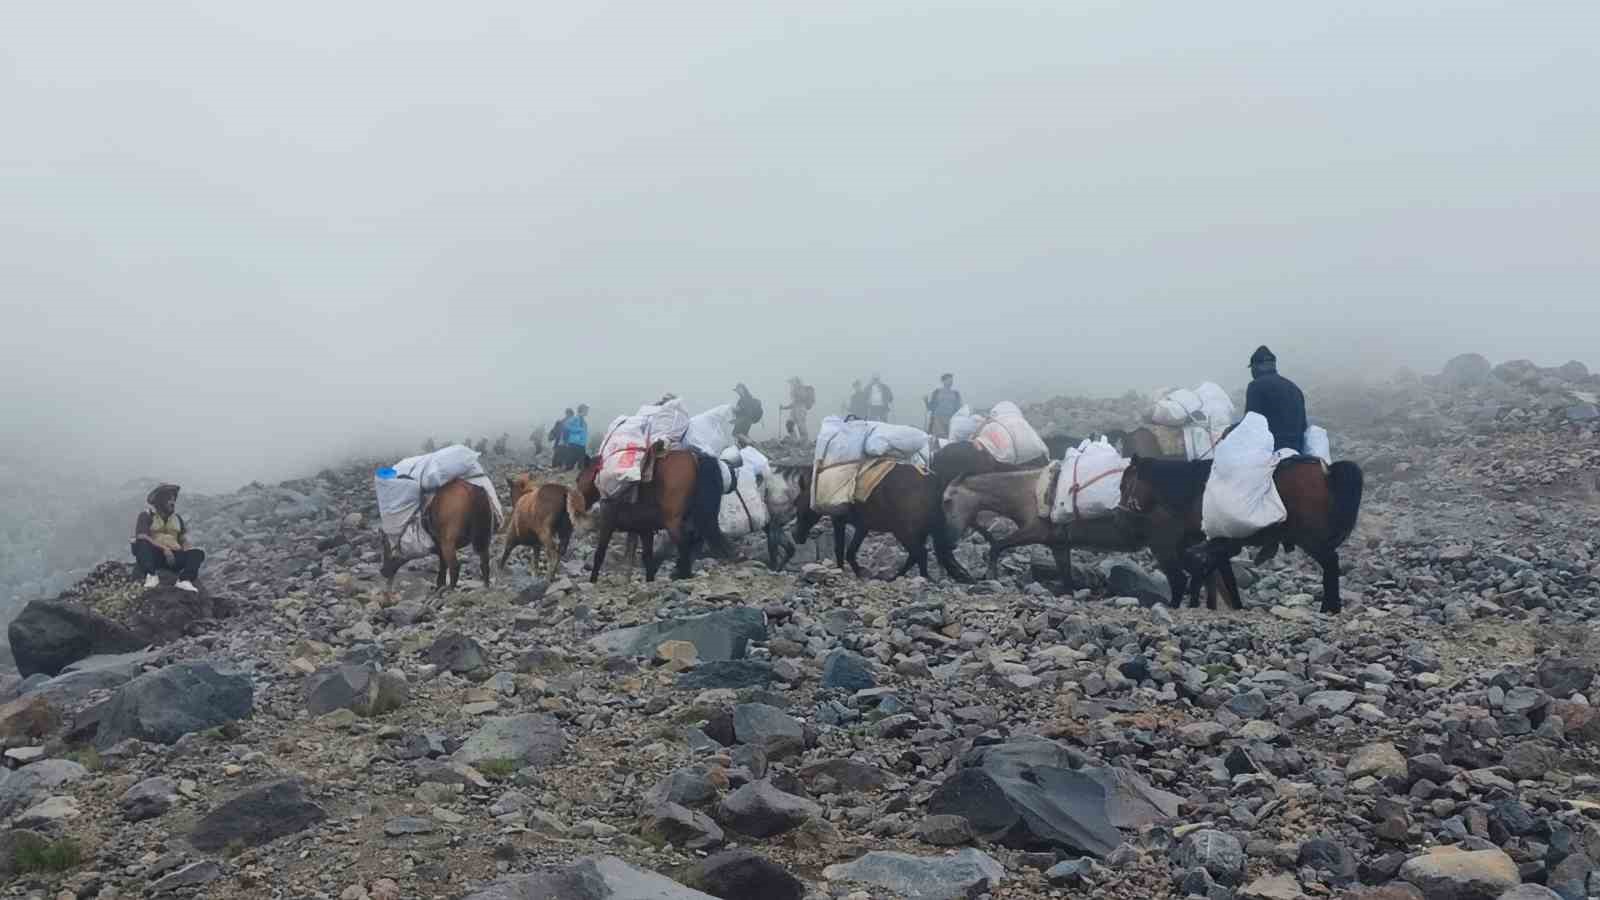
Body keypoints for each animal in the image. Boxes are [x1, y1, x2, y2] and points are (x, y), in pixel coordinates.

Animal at [576, 445, 732, 576]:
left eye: (578, 478)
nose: (579, 506)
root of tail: (695, 458)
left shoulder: (607, 522)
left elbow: (600, 553)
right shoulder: (643, 528)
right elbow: (641, 551)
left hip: (672, 520)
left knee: (684, 542)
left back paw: (682, 574)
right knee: (694, 539)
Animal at [790, 461, 966, 582]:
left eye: (797, 502)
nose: (796, 536)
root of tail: (933, 483)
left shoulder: (845, 522)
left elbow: (842, 549)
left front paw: (846, 571)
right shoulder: (858, 526)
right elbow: (847, 550)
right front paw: (854, 572)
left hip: (903, 531)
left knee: (920, 553)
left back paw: (920, 578)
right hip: (915, 532)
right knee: (916, 555)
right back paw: (899, 577)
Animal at [1126, 454, 1363, 608]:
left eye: (1124, 484)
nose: (1123, 508)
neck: (1196, 489)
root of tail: (1327, 472)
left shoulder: (1216, 544)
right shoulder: (1218, 546)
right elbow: (1217, 573)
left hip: (1310, 538)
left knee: (1331, 563)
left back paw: (1330, 607)